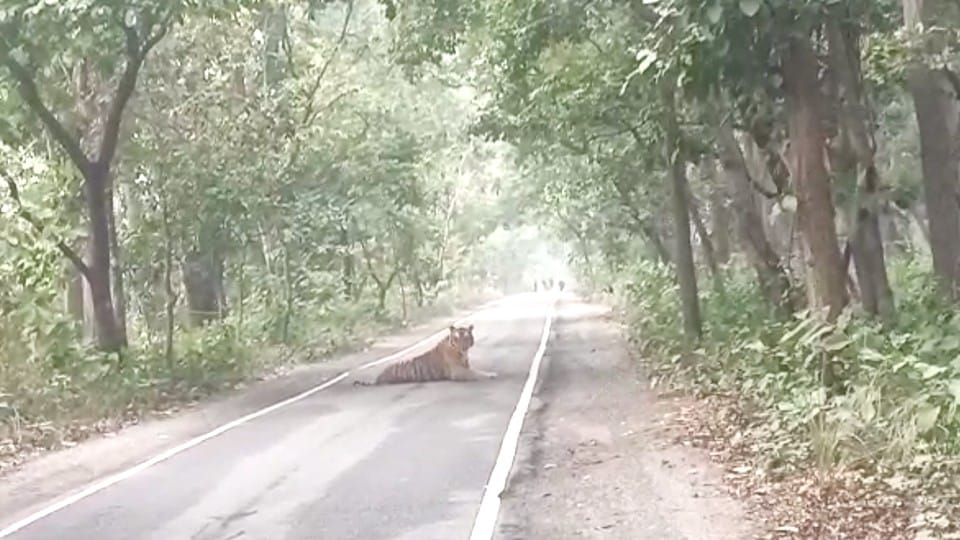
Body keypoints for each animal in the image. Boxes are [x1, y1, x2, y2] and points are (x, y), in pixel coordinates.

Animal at [353, 324, 496, 386]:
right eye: (456, 338)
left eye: (466, 338)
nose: (463, 347)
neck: (461, 352)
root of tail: (379, 377)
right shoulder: (457, 371)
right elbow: (475, 373)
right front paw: (490, 375)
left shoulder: (465, 366)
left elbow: (477, 370)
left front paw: (490, 373)